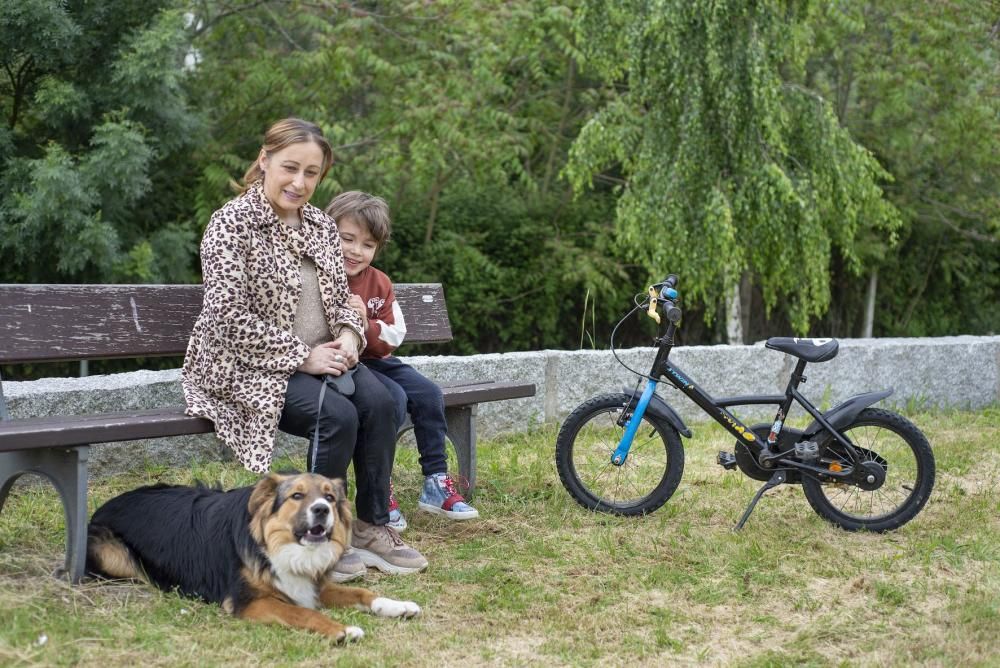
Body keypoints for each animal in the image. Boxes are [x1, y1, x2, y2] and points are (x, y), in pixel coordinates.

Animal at [82, 470, 418, 640]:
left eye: (330, 497)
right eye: (297, 495)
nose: (322, 509)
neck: (276, 546)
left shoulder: (308, 584)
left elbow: (362, 592)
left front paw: (397, 606)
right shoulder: (247, 601)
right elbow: (303, 613)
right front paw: (342, 630)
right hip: (112, 553)